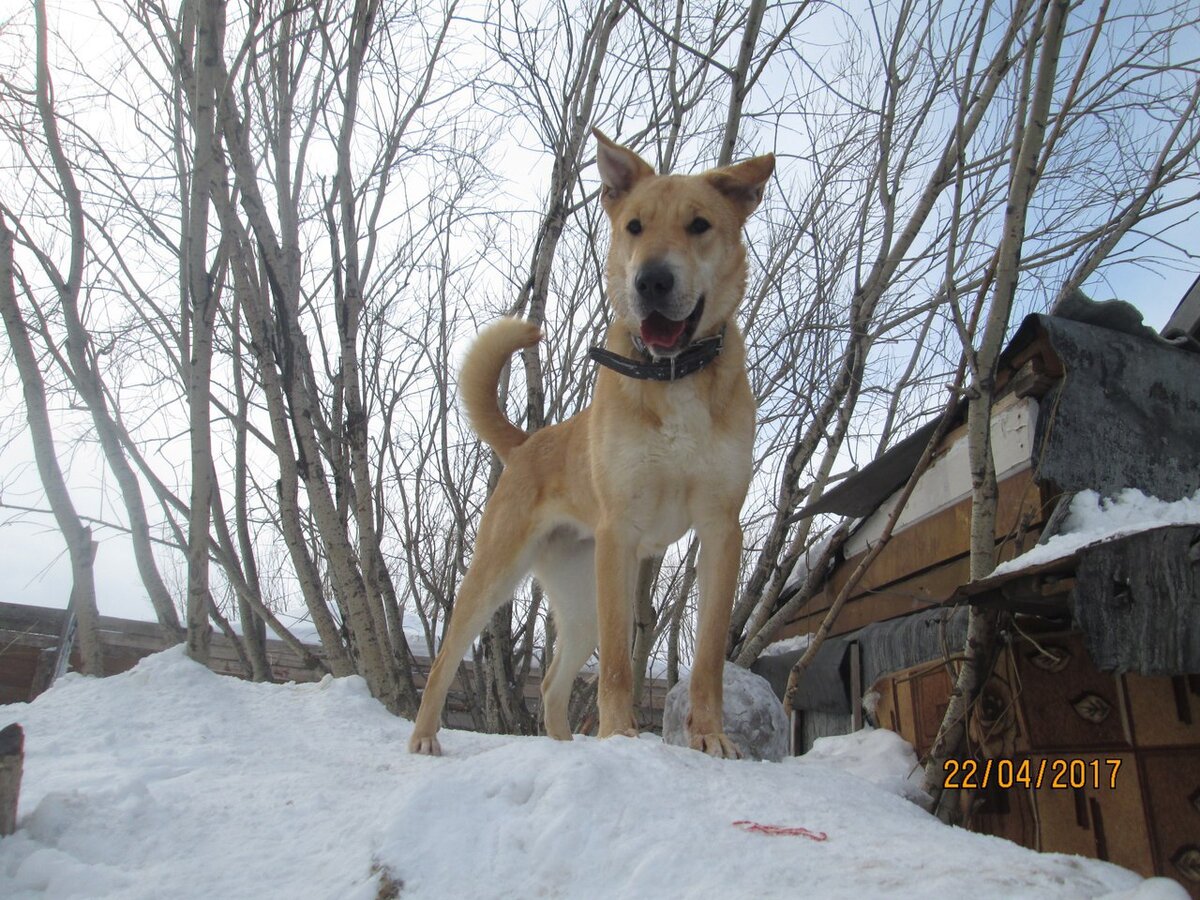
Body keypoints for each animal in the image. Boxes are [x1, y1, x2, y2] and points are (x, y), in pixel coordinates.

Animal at [408, 130, 772, 758]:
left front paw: (710, 737)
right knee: (447, 661)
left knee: (552, 682)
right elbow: (620, 668)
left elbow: (707, 661)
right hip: (505, 574)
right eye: (634, 226)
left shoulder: (720, 530)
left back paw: (563, 749)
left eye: (699, 225)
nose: (651, 280)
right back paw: (425, 738)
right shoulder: (619, 534)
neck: (670, 374)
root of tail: (526, 443)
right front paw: (620, 735)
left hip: (579, 600)